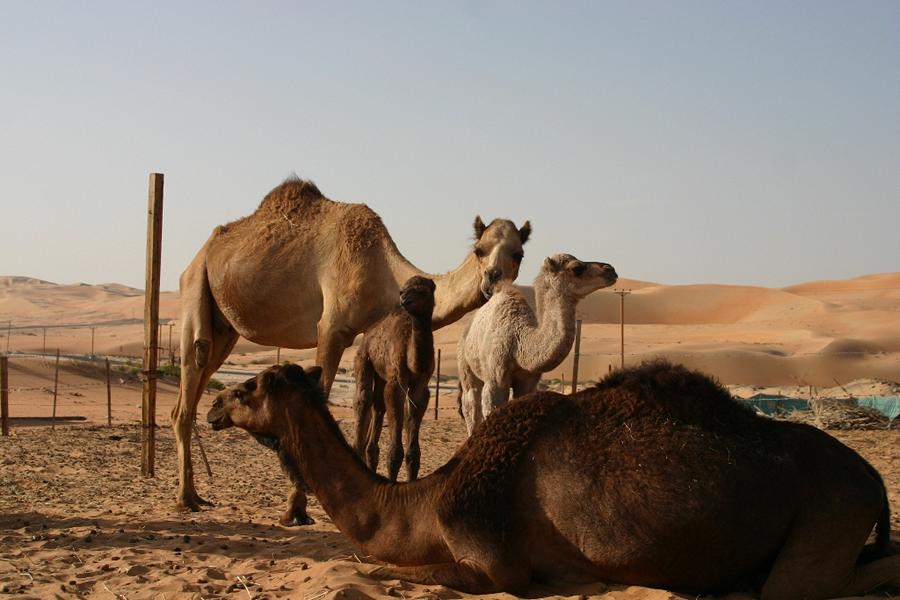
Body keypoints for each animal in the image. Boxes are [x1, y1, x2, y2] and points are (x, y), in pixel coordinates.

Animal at [206, 360, 900, 600]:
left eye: (248, 387)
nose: (213, 407)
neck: (430, 499)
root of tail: (873, 476)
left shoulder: (495, 563)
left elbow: (397, 569)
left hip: (828, 515)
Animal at [354, 274, 434, 480]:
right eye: (402, 290)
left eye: (422, 291)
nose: (405, 299)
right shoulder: (396, 382)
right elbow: (395, 453)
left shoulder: (422, 386)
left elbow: (413, 455)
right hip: (363, 358)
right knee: (364, 400)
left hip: (382, 375)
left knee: (378, 406)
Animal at [460, 251, 616, 434]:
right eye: (577, 268)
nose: (610, 270)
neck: (520, 343)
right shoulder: (495, 380)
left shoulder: (528, 382)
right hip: (465, 363)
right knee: (471, 403)